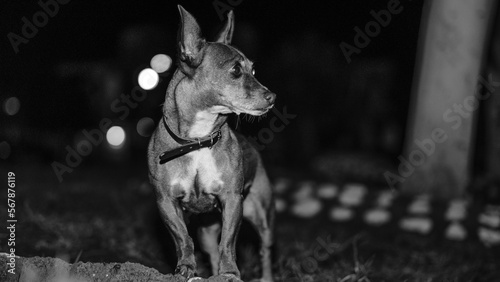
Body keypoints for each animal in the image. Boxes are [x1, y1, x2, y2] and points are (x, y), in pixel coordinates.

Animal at [146, 4, 276, 282]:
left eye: (253, 70)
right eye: (236, 70)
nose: (272, 96)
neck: (198, 141)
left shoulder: (232, 201)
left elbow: (227, 242)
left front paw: (230, 272)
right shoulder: (166, 203)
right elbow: (183, 239)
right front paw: (186, 267)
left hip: (261, 215)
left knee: (265, 251)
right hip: (206, 229)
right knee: (210, 250)